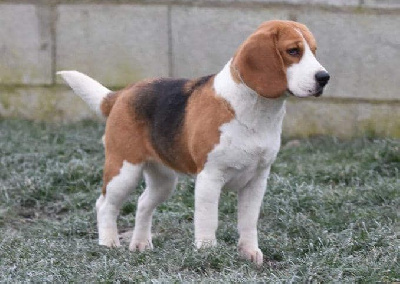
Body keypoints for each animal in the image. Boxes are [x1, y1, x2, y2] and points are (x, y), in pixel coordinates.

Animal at [58, 20, 328, 266]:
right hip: (124, 171)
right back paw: (109, 243)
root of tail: (122, 93)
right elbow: (209, 219)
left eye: (314, 51)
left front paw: (250, 253)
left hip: (164, 181)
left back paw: (141, 243)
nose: (324, 77)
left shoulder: (257, 180)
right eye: (293, 51)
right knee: (104, 205)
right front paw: (207, 253)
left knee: (143, 203)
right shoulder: (210, 177)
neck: (256, 110)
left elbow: (248, 221)